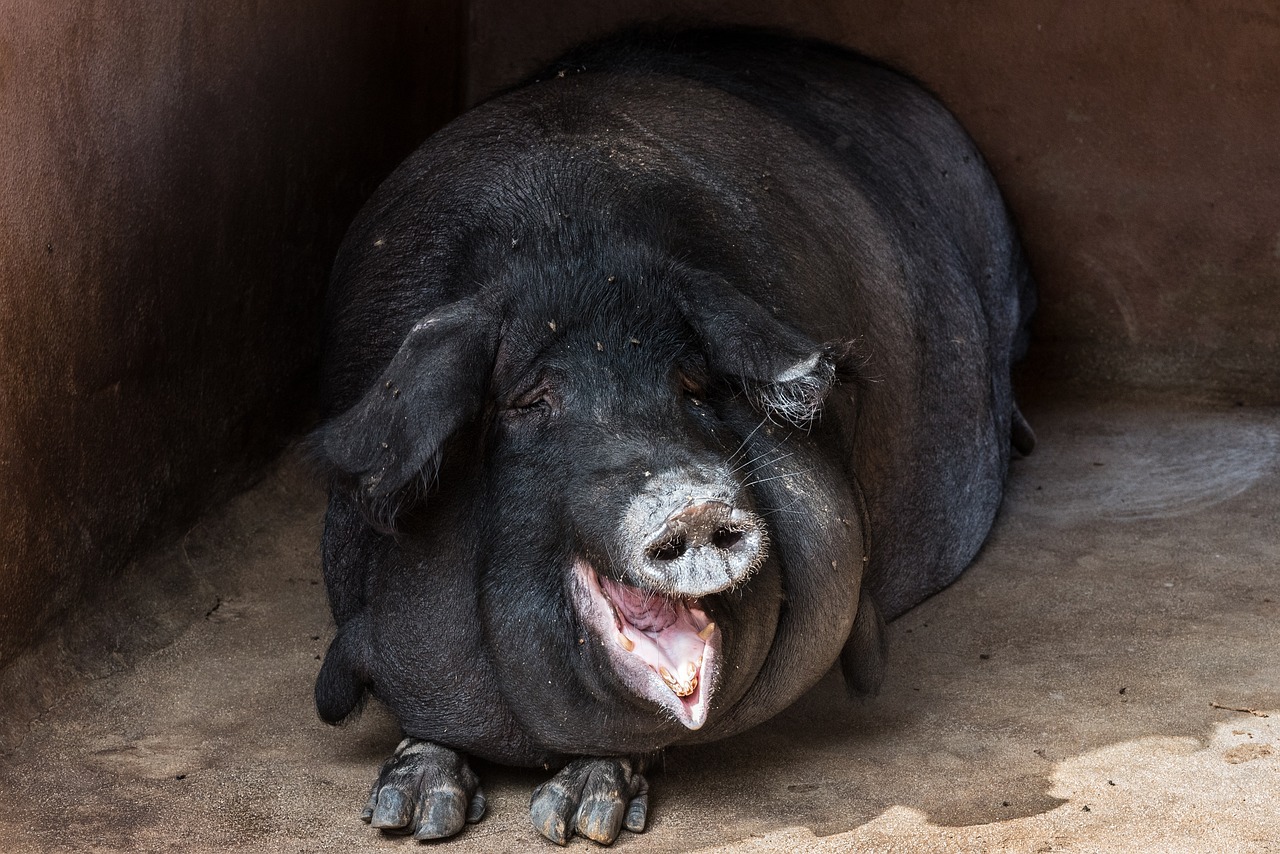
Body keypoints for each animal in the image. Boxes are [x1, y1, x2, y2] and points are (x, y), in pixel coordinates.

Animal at [314, 28, 1034, 850]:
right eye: (530, 400)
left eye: (692, 384)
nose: (692, 503)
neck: (567, 241)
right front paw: (411, 816)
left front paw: (578, 819)